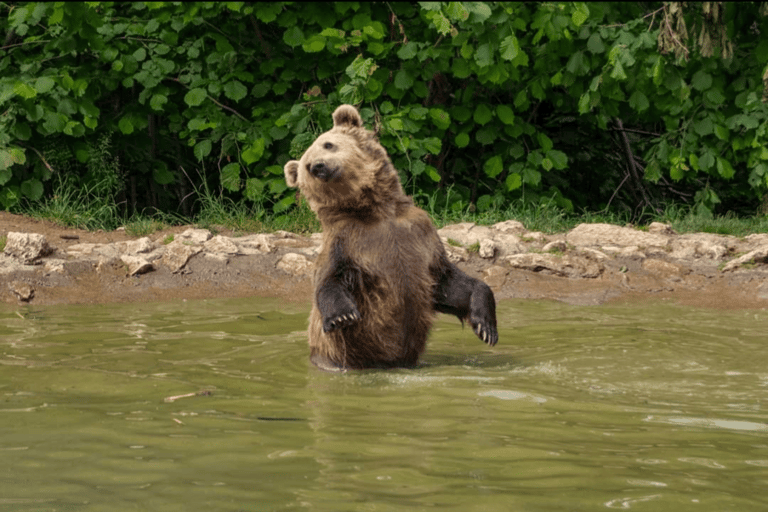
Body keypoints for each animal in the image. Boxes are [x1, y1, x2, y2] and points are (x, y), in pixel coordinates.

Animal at [283, 104, 498, 371]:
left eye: (328, 144)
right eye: (306, 165)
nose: (318, 166)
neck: (376, 210)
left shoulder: (419, 233)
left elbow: (448, 282)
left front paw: (486, 326)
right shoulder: (347, 239)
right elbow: (330, 277)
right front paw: (342, 315)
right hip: (335, 358)